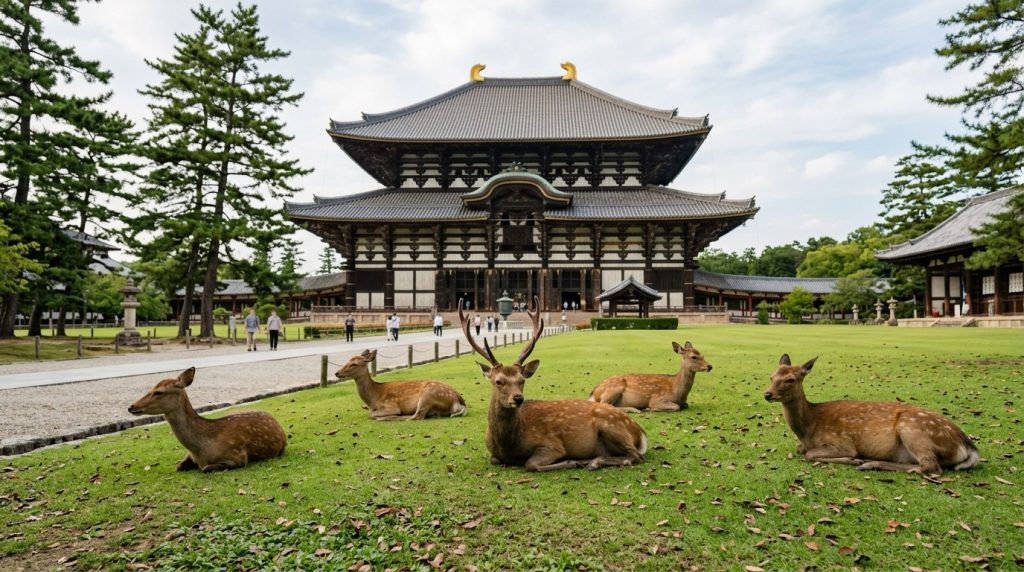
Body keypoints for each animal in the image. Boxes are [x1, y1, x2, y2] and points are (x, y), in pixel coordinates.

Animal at [128, 367, 287, 472]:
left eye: (159, 392)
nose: (131, 406)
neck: (200, 450)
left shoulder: (238, 457)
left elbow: (205, 469)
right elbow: (178, 466)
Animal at [333, 349, 467, 420]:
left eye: (354, 364)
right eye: (348, 360)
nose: (336, 373)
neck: (373, 399)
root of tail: (459, 402)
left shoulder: (390, 405)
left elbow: (371, 414)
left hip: (428, 395)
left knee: (416, 416)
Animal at [460, 297, 647, 471]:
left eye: (522, 380)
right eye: (498, 381)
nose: (518, 398)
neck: (507, 444)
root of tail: (641, 433)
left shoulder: (552, 445)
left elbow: (531, 464)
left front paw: (570, 462)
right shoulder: (494, 454)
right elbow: (494, 459)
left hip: (611, 425)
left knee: (635, 456)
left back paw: (592, 462)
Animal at [764, 354, 979, 475]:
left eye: (791, 379)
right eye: (772, 376)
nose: (767, 394)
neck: (809, 428)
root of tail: (968, 446)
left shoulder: (842, 442)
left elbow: (809, 454)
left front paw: (854, 460)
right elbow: (802, 450)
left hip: (912, 428)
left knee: (930, 466)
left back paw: (869, 464)